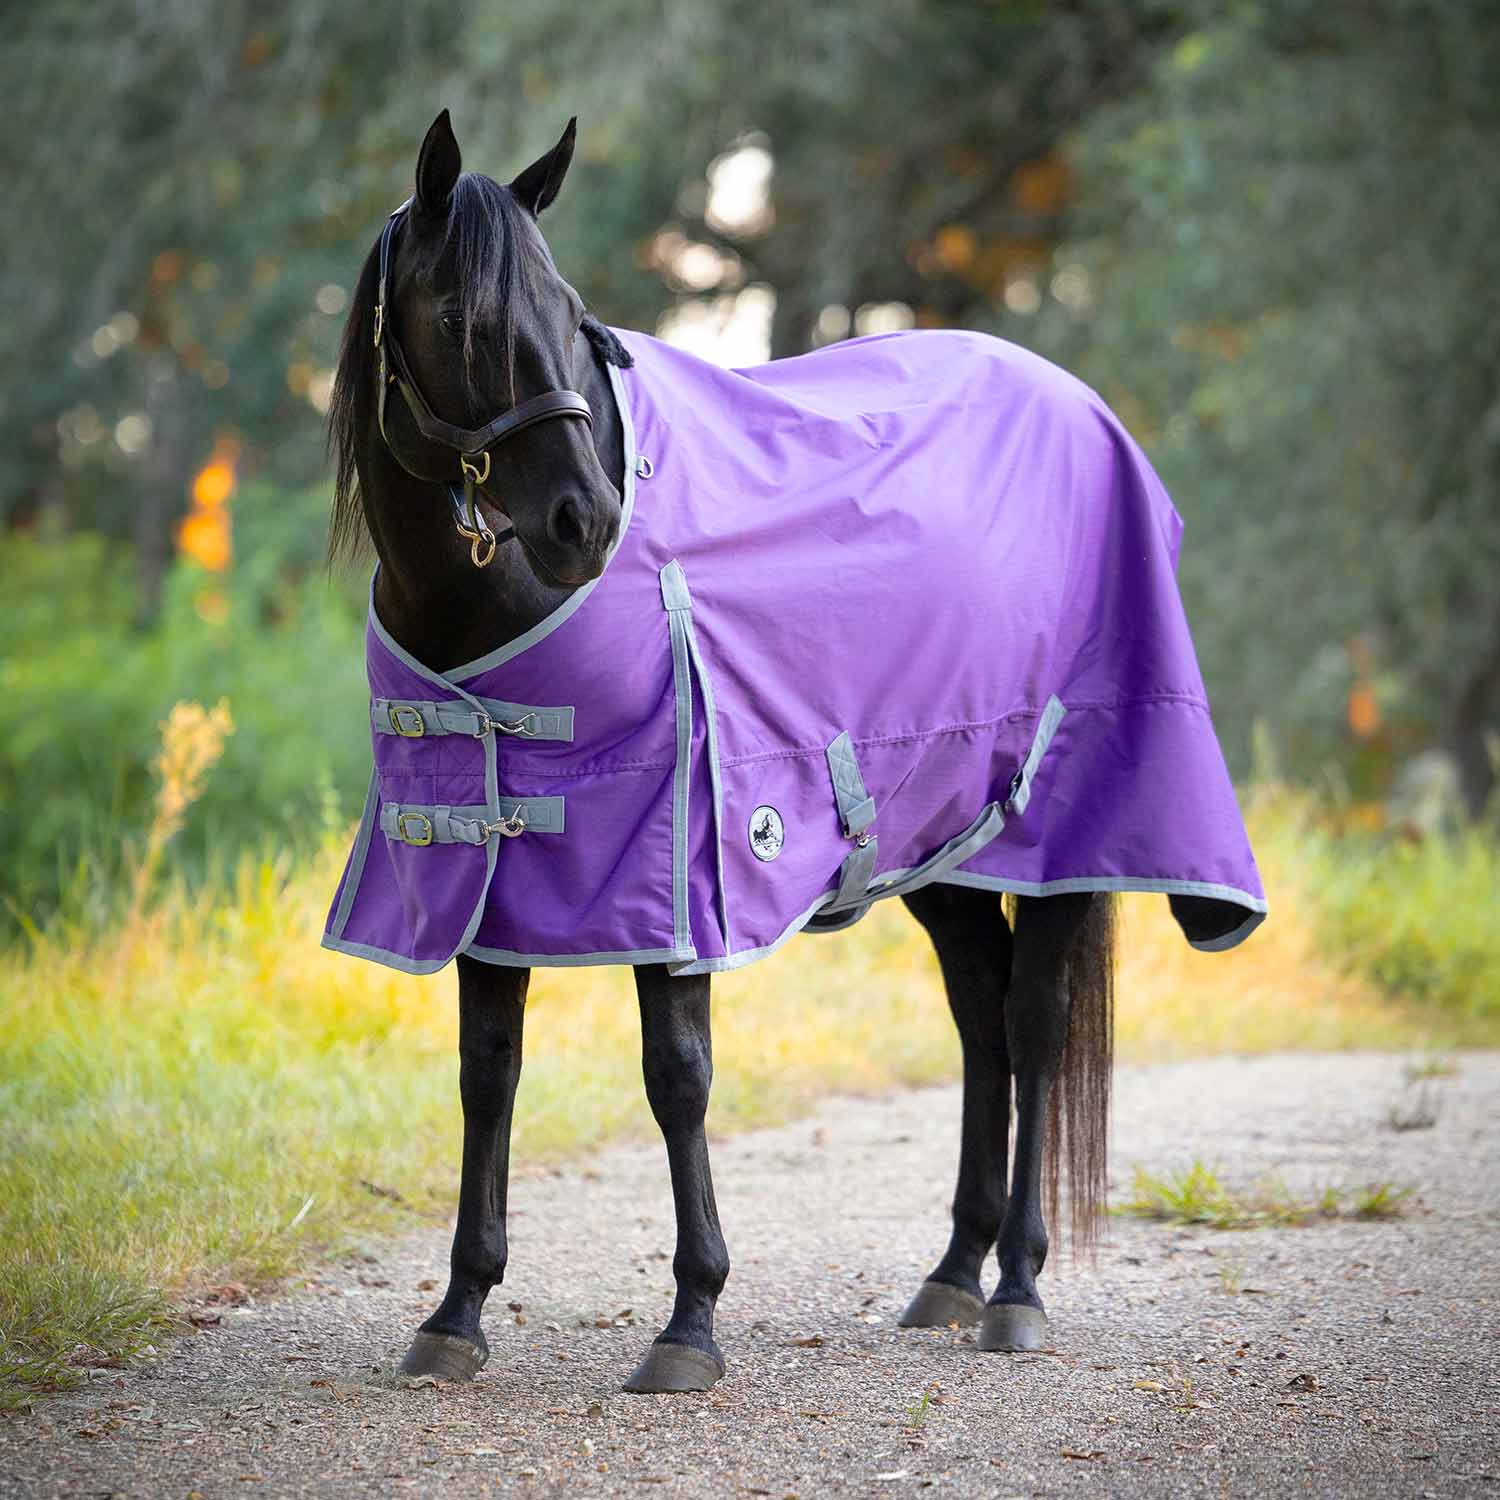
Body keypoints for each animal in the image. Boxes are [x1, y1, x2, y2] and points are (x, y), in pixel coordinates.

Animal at [324, 110, 1265, 1394]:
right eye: (461, 316)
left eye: (569, 310)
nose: (585, 521)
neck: (481, 606)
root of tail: (1085, 407)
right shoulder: (482, 868)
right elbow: (487, 1075)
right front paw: (456, 1314)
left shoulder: (670, 869)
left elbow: (677, 1077)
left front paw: (690, 1322)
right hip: (937, 850)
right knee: (980, 1016)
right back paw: (951, 1274)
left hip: (1061, 837)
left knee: (1030, 1026)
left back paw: (1017, 1287)